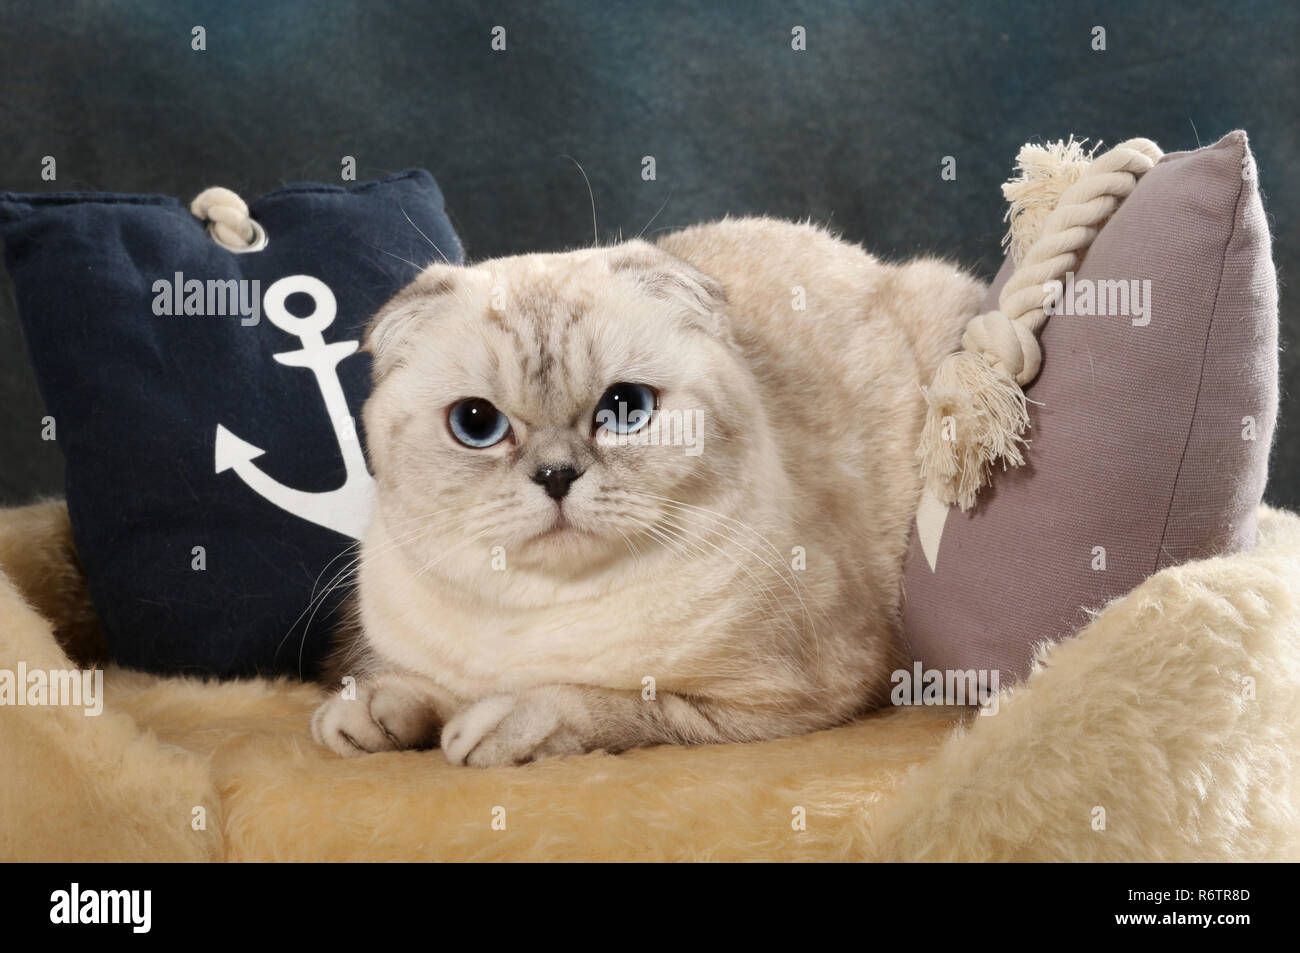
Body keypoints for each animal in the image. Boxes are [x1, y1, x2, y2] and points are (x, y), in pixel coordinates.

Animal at [314, 217, 977, 764]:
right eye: (476, 424)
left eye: (625, 408)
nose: (556, 476)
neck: (540, 618)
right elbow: (403, 687)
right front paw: (368, 717)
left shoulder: (785, 700)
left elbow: (598, 704)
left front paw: (490, 729)